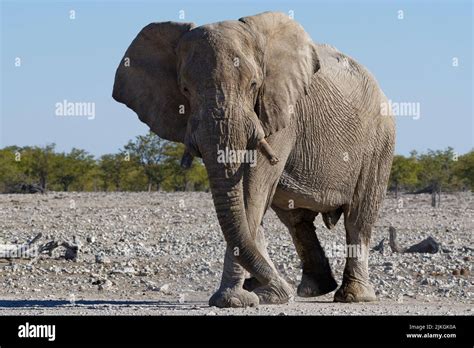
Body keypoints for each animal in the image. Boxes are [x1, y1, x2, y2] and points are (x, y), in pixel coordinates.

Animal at [113, 12, 394, 308]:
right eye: (185, 90)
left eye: (254, 85)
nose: (275, 287)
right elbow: (250, 201)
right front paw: (264, 295)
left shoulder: (281, 111)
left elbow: (251, 191)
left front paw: (234, 300)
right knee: (296, 220)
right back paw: (311, 290)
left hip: (379, 141)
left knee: (358, 216)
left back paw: (352, 296)